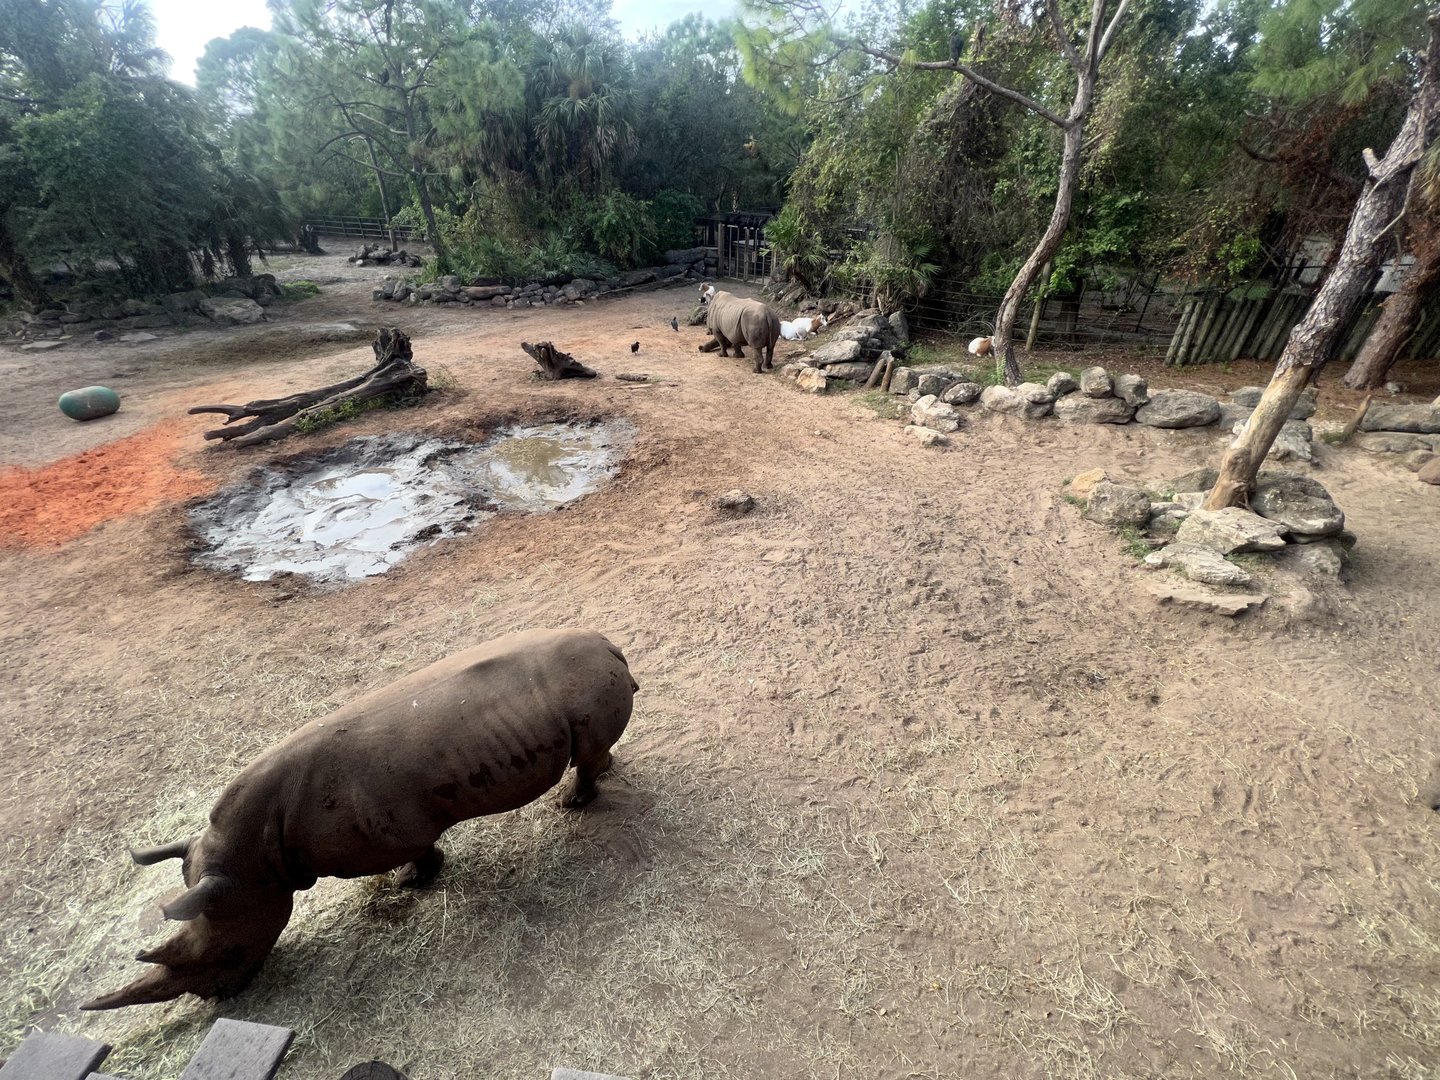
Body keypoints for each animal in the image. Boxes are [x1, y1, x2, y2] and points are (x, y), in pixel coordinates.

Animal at [82, 628, 638, 1011]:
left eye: (228, 953)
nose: (219, 999)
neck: (251, 856)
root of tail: (609, 644)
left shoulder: (392, 834)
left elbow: (420, 852)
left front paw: (413, 882)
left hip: (586, 685)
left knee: (588, 749)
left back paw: (572, 805)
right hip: (581, 684)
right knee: (592, 749)